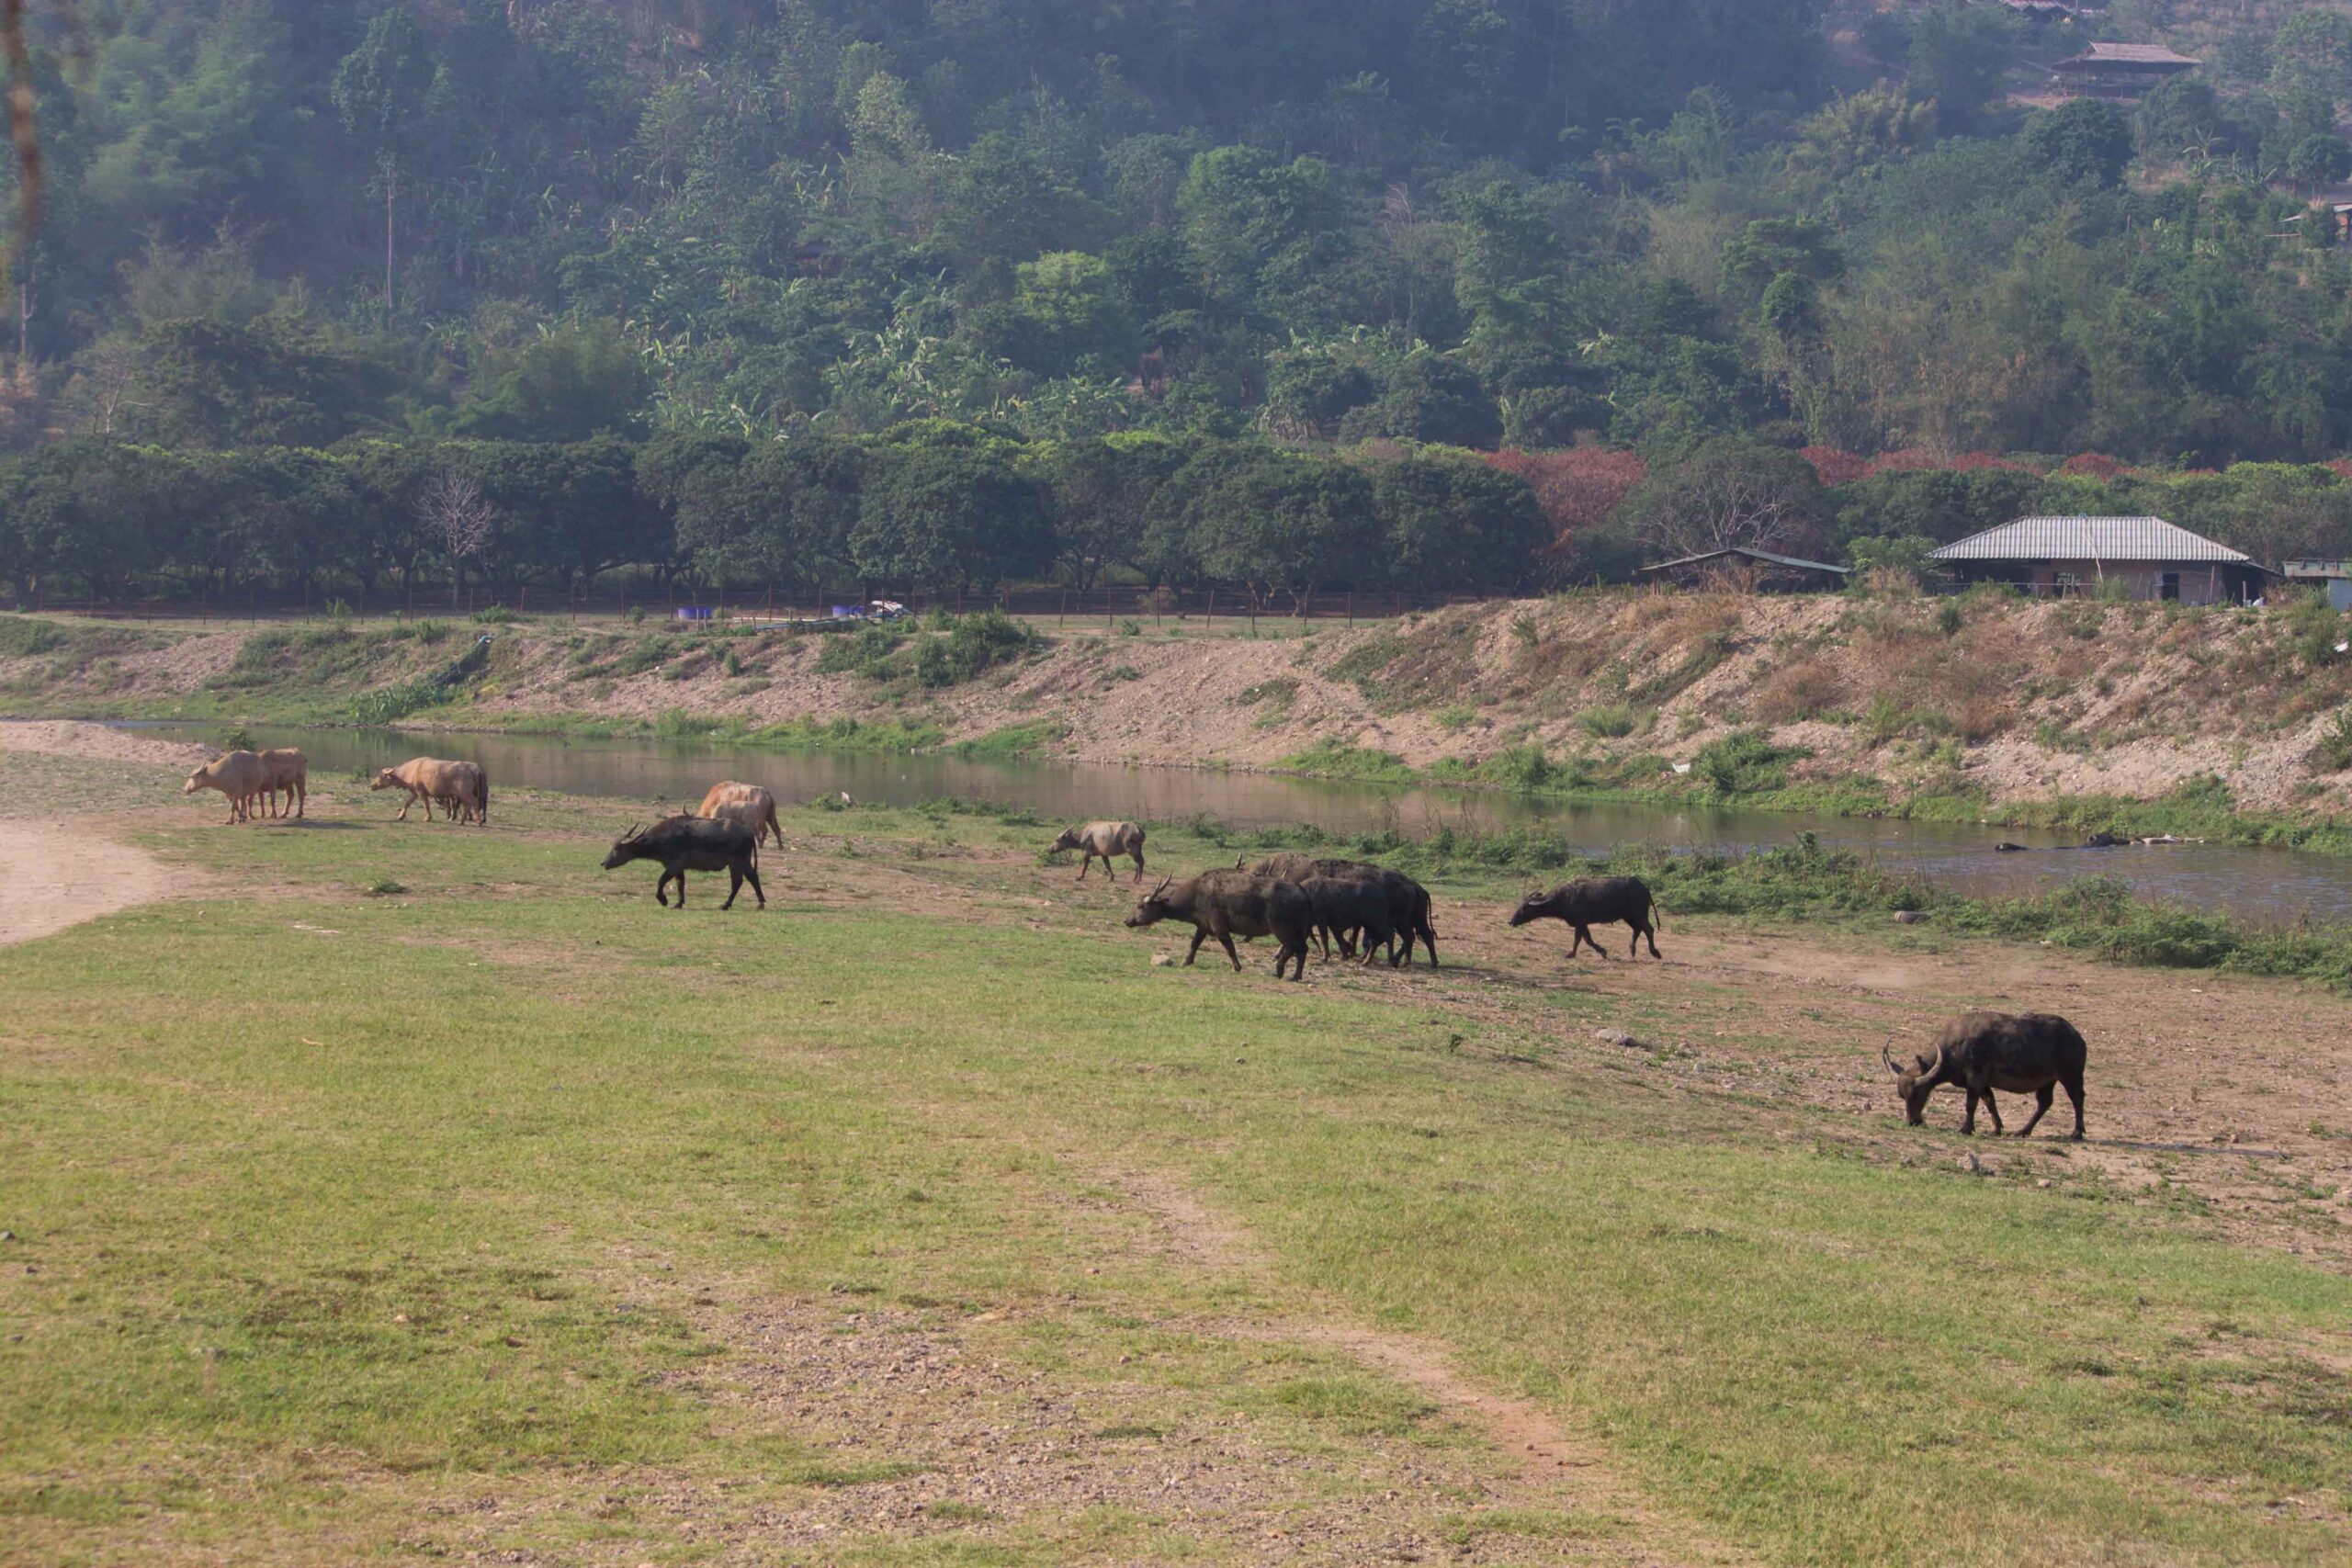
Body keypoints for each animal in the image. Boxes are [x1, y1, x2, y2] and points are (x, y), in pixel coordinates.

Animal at [602, 816, 765, 910]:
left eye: (616, 848)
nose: (604, 863)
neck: (663, 839)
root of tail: (748, 832)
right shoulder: (679, 868)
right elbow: (680, 884)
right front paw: (679, 903)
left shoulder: (673, 865)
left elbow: (661, 881)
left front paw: (664, 900)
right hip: (740, 862)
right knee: (747, 879)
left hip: (738, 861)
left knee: (742, 880)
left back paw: (732, 904)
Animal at [1125, 873, 1311, 979]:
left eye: (1141, 906)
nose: (1127, 921)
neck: (1195, 895)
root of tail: (1302, 893)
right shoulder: (1202, 926)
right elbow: (1194, 943)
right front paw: (1186, 961)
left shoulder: (1219, 927)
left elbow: (1229, 947)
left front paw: (1237, 967)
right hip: (1299, 931)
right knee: (1303, 949)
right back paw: (1296, 976)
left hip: (1282, 930)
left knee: (1292, 948)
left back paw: (1279, 971)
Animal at [1507, 876, 1661, 959]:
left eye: (1524, 908)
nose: (1510, 921)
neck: (1564, 898)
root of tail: (1645, 888)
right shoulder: (1581, 923)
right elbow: (1587, 939)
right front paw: (1601, 951)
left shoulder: (1580, 921)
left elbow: (1580, 939)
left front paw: (1571, 954)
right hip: (1629, 917)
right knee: (1638, 929)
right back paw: (1632, 950)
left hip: (1639, 914)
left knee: (1649, 929)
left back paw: (1655, 952)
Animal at [1884, 1011, 2087, 1138]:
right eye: (1902, 1096)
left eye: (1917, 1093)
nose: (1913, 1121)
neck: (1954, 1049)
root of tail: (2076, 1036)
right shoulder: (1983, 1083)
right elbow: (1990, 1102)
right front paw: (1997, 1128)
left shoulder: (1975, 1079)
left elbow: (1970, 1104)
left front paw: (1966, 1128)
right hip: (2047, 1081)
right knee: (2044, 1103)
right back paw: (2022, 1131)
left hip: (2071, 1076)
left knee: (2077, 1098)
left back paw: (2077, 1132)